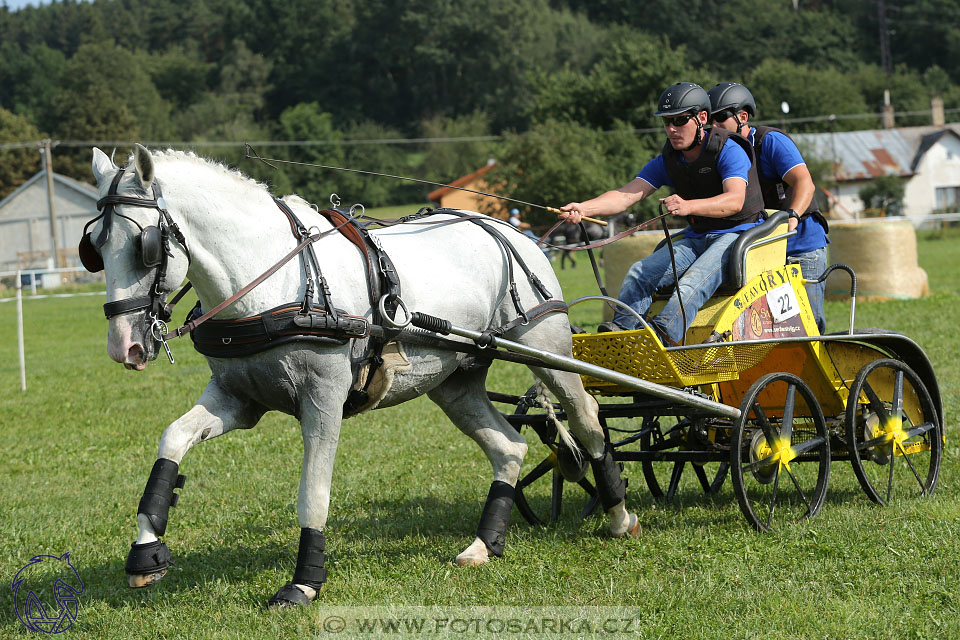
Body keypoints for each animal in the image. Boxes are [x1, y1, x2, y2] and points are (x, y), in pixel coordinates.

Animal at [82, 142, 636, 608]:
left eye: (144, 246)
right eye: (95, 248)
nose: (124, 347)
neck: (273, 278)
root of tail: (512, 230)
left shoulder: (322, 400)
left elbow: (313, 492)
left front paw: (304, 582)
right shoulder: (238, 398)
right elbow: (172, 440)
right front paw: (146, 553)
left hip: (546, 350)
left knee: (587, 419)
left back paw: (618, 514)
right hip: (454, 382)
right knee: (510, 447)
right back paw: (485, 544)